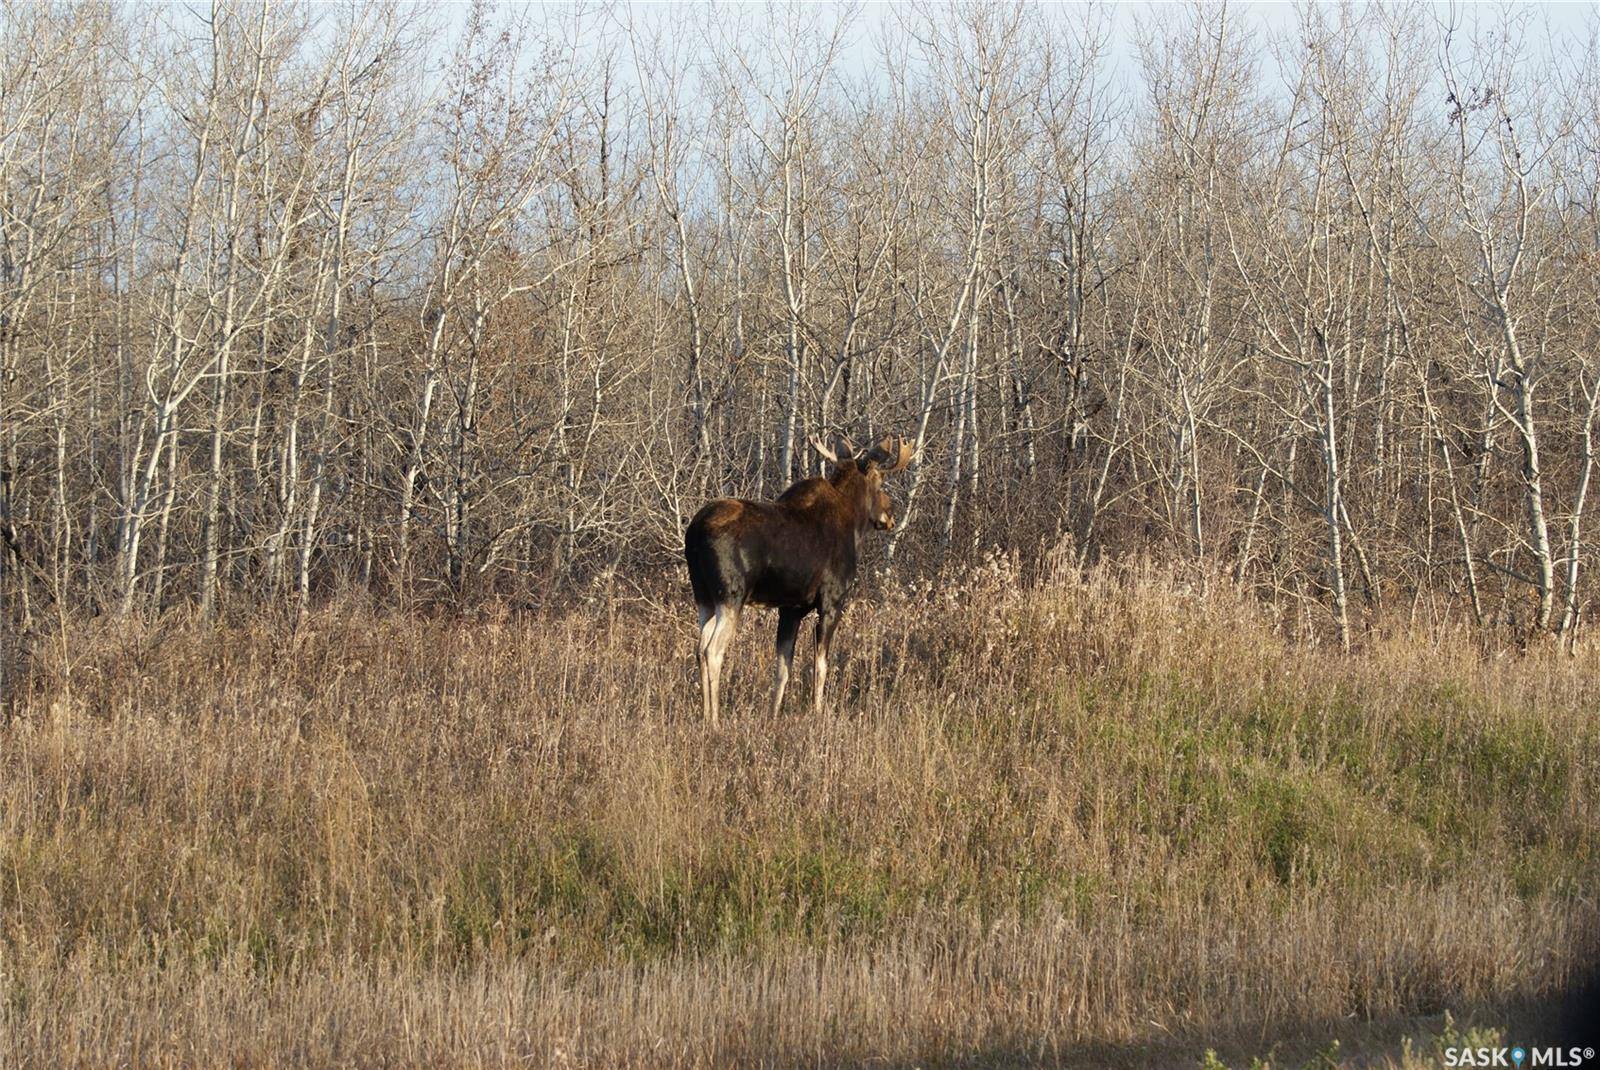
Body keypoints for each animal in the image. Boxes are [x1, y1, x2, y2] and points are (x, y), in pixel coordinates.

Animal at [684, 428, 921, 722]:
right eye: (880, 483)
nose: (889, 516)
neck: (855, 526)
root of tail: (694, 533)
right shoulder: (832, 601)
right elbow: (820, 665)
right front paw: (818, 712)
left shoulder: (791, 608)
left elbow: (783, 667)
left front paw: (774, 714)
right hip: (730, 596)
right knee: (712, 650)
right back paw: (714, 720)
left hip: (703, 597)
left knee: (698, 647)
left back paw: (706, 714)